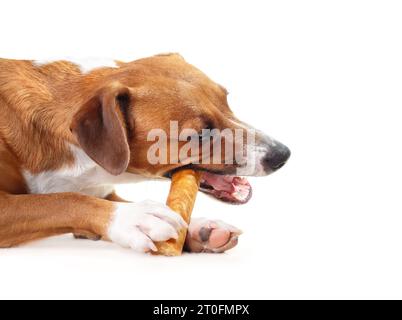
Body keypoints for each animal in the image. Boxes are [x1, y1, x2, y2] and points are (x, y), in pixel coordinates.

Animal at [0, 53, 290, 254]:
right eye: (199, 135)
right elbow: (61, 201)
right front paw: (135, 218)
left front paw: (198, 227)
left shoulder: (100, 190)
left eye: (227, 100)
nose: (283, 154)